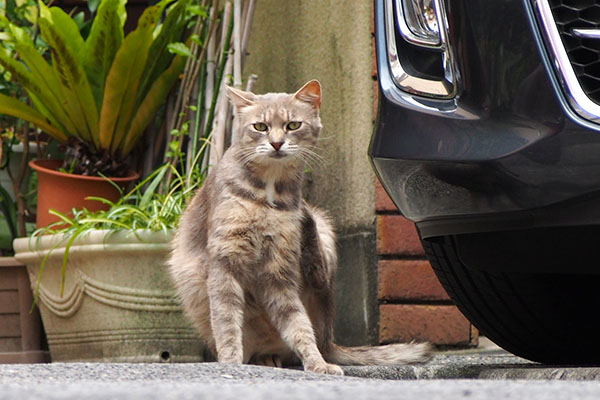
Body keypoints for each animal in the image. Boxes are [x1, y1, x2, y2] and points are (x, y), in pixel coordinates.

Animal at [169, 79, 432, 374]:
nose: (276, 143)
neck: (269, 190)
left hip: (323, 233)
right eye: (260, 127)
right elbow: (226, 323)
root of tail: (330, 341)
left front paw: (317, 364)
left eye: (293, 125)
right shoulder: (225, 263)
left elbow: (298, 325)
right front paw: (231, 363)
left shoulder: (279, 272)